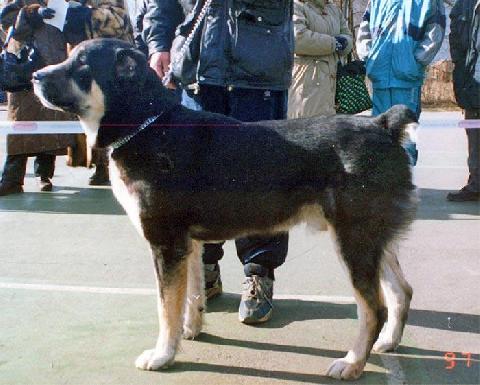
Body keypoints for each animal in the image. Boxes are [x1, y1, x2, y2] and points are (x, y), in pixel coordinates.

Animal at [32, 37, 416, 380]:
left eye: (81, 64)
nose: (35, 75)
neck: (148, 125)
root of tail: (383, 125)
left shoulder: (165, 244)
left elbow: (165, 307)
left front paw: (162, 355)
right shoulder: (188, 245)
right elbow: (191, 295)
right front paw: (189, 331)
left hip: (353, 242)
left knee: (374, 308)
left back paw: (352, 363)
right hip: (374, 241)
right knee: (402, 292)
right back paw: (387, 343)